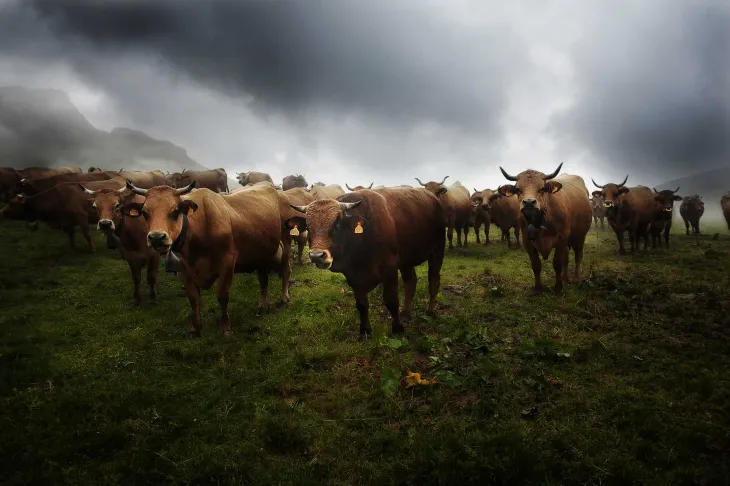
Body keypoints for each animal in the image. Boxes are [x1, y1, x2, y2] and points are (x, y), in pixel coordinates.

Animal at [124, 180, 290, 337]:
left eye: (175, 211)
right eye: (145, 213)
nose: (157, 238)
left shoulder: (228, 263)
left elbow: (222, 295)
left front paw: (225, 328)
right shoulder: (184, 270)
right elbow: (193, 298)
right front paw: (195, 329)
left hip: (286, 241)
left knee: (285, 271)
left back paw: (283, 299)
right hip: (261, 252)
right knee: (263, 280)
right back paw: (262, 307)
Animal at [290, 187, 445, 336]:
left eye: (336, 225)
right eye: (308, 228)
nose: (316, 256)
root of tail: (433, 197)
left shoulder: (390, 270)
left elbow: (392, 301)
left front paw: (397, 328)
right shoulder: (354, 277)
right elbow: (362, 304)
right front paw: (365, 330)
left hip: (437, 250)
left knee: (433, 281)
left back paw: (430, 310)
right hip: (406, 261)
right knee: (411, 282)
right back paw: (406, 313)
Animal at [497, 163, 591, 295]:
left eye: (542, 188)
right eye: (518, 189)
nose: (529, 202)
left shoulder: (562, 238)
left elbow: (557, 264)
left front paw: (558, 288)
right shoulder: (527, 241)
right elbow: (536, 265)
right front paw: (538, 288)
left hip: (580, 236)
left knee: (578, 255)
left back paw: (576, 278)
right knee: (566, 258)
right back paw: (565, 278)